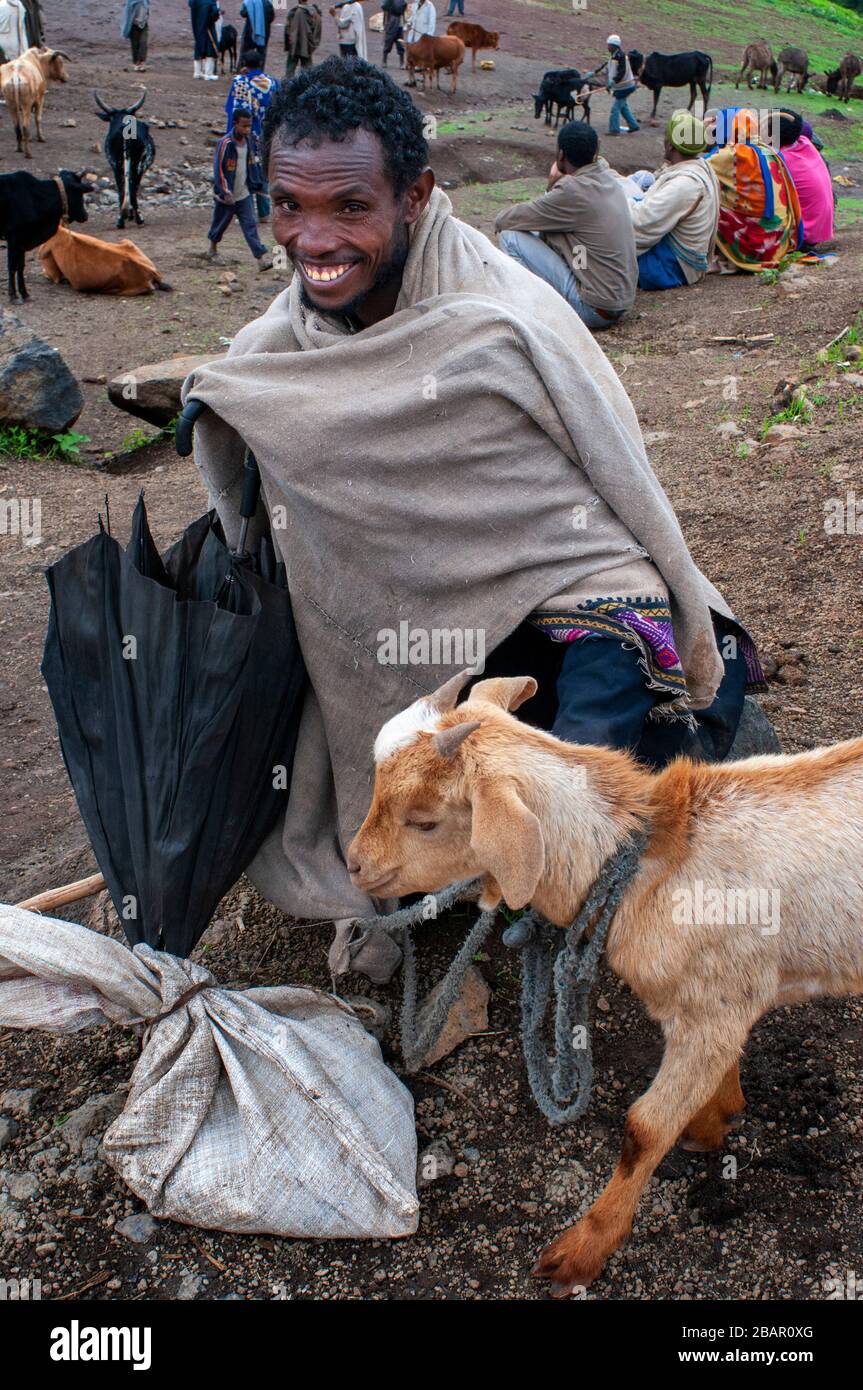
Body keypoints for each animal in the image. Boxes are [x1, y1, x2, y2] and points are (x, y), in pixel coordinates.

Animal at [0, 166, 91, 300]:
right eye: (79, 192)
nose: (85, 216)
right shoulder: (13, 239)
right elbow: (12, 267)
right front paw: (13, 296)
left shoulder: (22, 242)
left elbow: (20, 266)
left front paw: (24, 293)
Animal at [93, 88, 155, 229]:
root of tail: (126, 129)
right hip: (135, 165)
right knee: (130, 188)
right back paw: (135, 219)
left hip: (119, 164)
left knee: (124, 189)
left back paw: (122, 219)